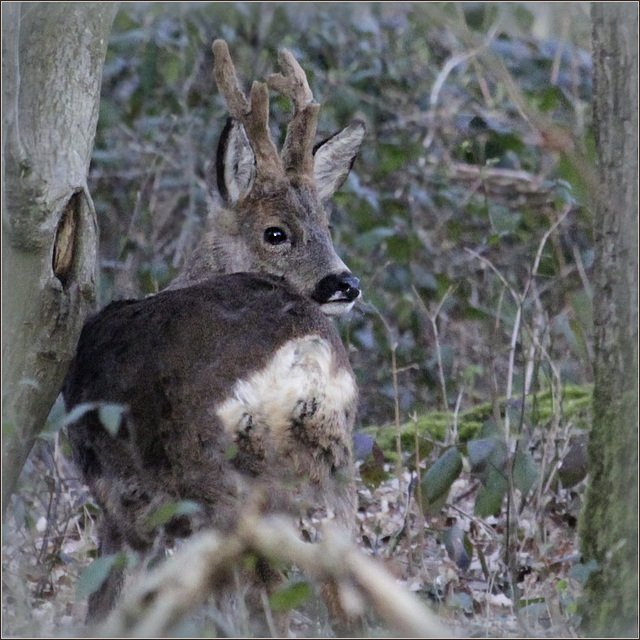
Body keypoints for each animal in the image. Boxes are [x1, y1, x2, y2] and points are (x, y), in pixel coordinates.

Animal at [65, 37, 368, 624]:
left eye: (325, 226)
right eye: (276, 233)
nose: (345, 283)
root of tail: (304, 353)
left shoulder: (120, 499)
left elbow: (106, 600)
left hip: (220, 474)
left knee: (266, 595)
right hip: (334, 469)